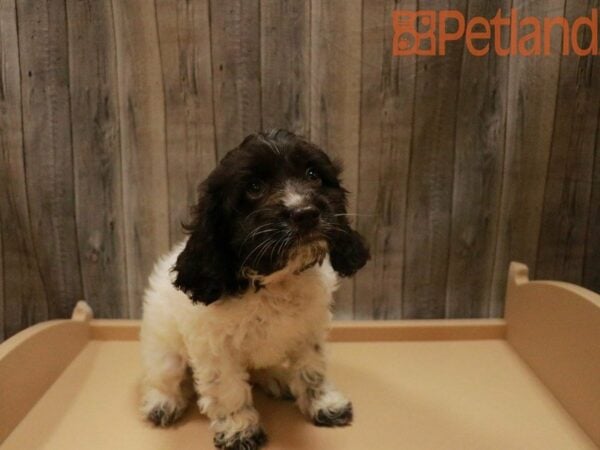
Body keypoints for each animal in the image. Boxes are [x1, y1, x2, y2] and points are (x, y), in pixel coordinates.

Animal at [139, 128, 370, 448]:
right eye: (254, 187)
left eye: (313, 175)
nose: (305, 213)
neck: (275, 282)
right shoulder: (216, 349)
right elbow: (228, 390)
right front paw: (240, 430)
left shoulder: (309, 331)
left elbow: (312, 369)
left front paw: (325, 405)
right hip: (163, 350)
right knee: (164, 377)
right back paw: (163, 403)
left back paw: (276, 379)